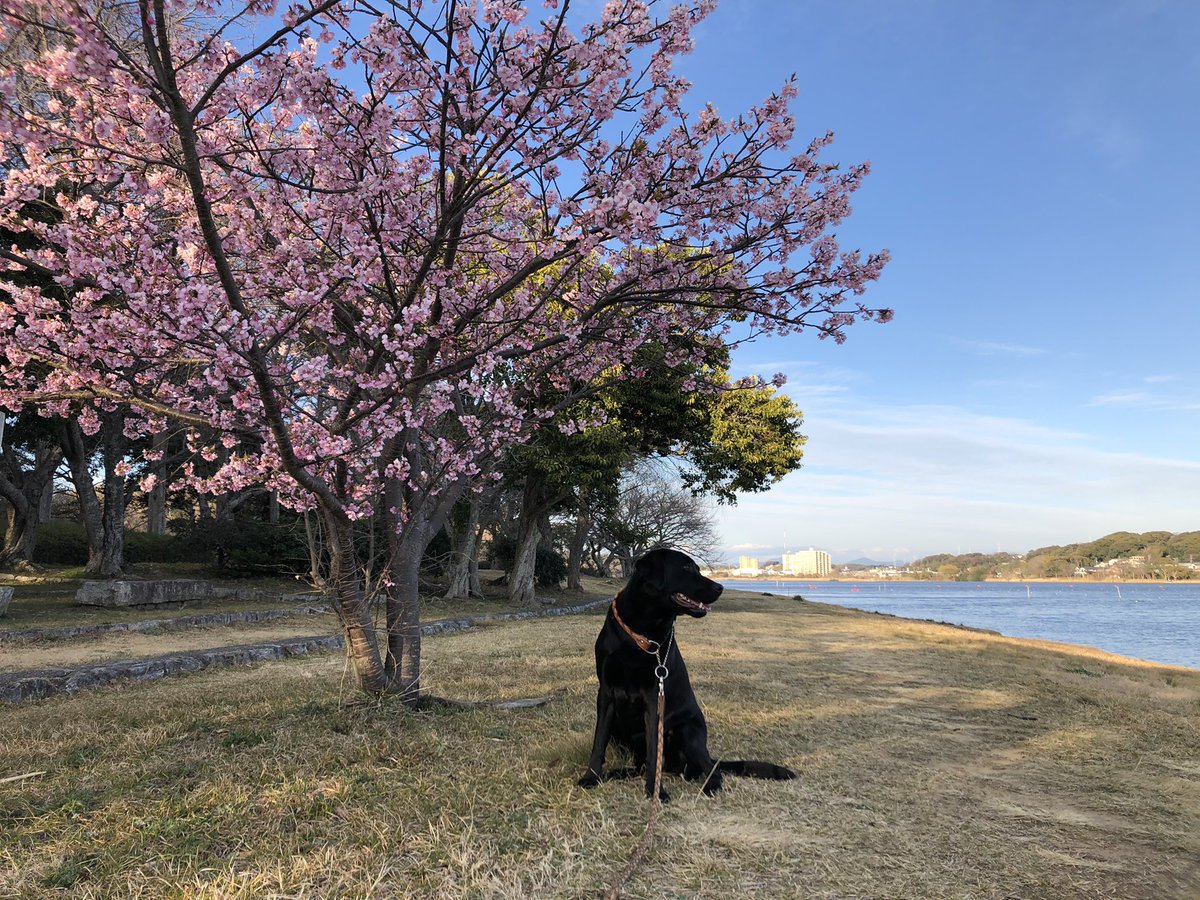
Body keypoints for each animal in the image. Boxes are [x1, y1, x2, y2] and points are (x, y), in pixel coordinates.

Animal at [578, 547, 796, 800]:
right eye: (686, 567)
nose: (720, 587)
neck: (643, 630)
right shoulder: (606, 693)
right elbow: (599, 741)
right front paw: (591, 777)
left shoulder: (653, 696)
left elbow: (654, 751)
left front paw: (656, 792)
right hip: (621, 732)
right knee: (644, 764)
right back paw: (617, 773)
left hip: (688, 731)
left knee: (709, 769)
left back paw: (708, 785)